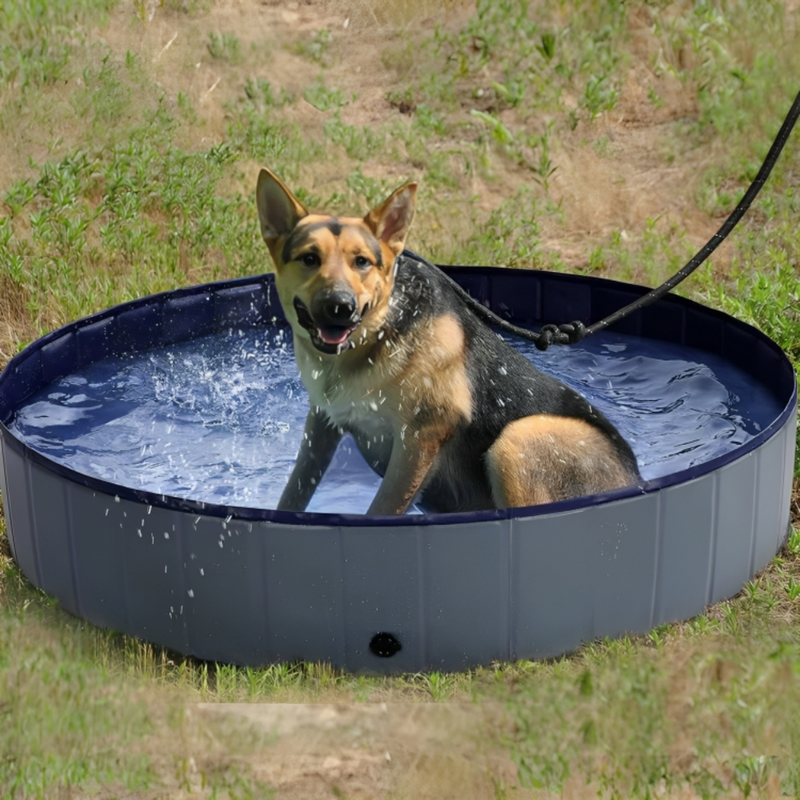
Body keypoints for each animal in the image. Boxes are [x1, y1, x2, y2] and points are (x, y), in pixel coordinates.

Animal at [258, 171, 644, 516]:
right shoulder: (322, 422)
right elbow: (294, 491)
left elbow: (380, 511)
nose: (340, 306)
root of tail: (636, 482)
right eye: (310, 258)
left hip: (516, 440)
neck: (375, 338)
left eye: (362, 262)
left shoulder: (421, 436)